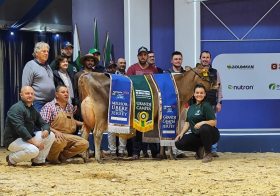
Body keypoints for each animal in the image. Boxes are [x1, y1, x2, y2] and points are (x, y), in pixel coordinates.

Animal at [77, 66, 218, 162]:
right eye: (207, 73)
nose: (218, 83)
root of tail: (87, 75)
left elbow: (161, 137)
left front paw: (162, 155)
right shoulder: (172, 115)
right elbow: (170, 137)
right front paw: (171, 156)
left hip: (87, 117)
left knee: (84, 133)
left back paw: (85, 157)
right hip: (101, 114)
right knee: (97, 133)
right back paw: (98, 158)